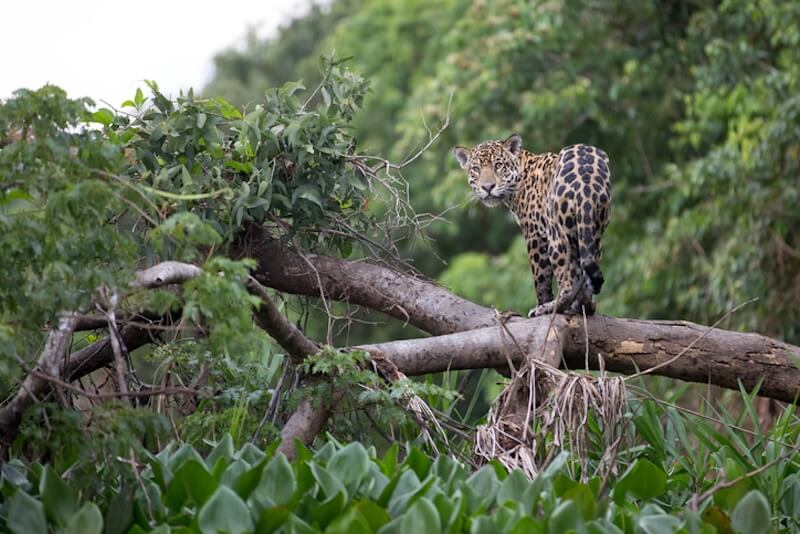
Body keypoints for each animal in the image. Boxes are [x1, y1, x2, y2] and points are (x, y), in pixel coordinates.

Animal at [453, 134, 611, 317]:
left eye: (498, 165)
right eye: (476, 169)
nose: (487, 187)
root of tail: (586, 180)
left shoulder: (534, 234)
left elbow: (540, 277)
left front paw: (541, 303)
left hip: (557, 235)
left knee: (569, 280)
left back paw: (551, 307)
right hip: (592, 230)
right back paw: (584, 305)